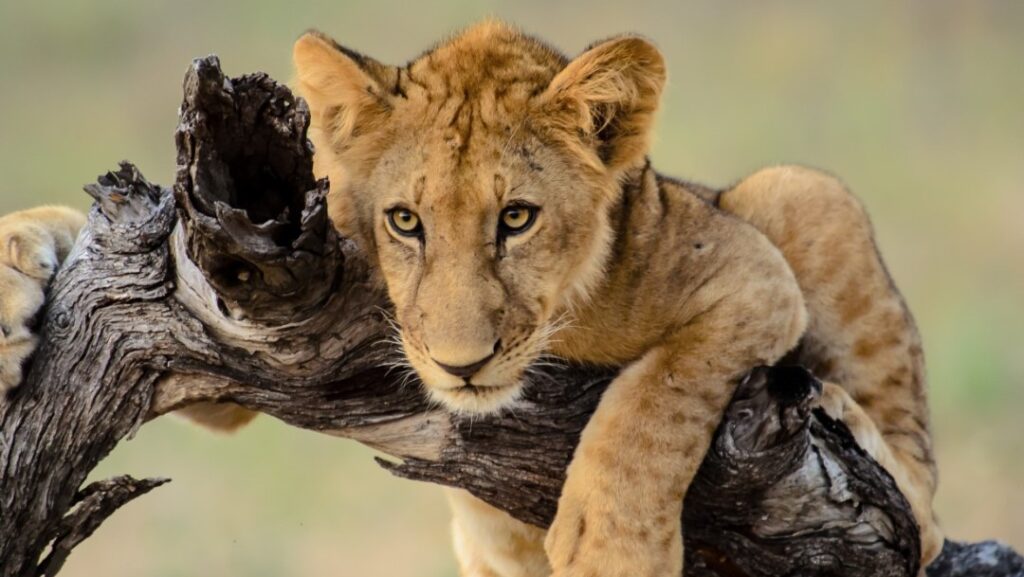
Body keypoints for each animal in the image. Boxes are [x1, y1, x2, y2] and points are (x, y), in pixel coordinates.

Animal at [0, 21, 941, 576]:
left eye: (516, 218)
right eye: (405, 221)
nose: (461, 363)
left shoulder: (752, 276)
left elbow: (659, 395)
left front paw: (615, 545)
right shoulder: (235, 310)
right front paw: (14, 291)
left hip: (803, 191)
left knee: (921, 500)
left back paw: (854, 422)